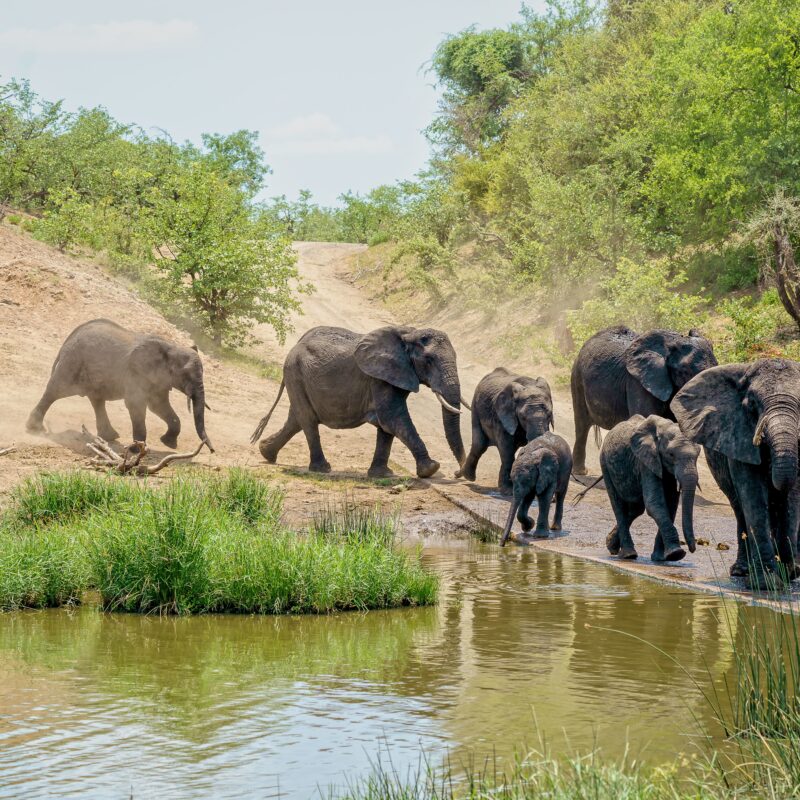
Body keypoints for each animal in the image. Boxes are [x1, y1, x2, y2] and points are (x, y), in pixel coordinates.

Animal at [27, 318, 214, 450]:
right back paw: (34, 429)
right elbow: (136, 404)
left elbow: (158, 406)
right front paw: (136, 450)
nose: (212, 450)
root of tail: (73, 333)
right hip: (72, 362)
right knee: (55, 391)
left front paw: (168, 444)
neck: (170, 347)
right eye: (186, 375)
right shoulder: (137, 373)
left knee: (97, 400)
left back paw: (110, 437)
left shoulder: (159, 380)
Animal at [247, 324, 466, 478]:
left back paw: (266, 453)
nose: (458, 473)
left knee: (296, 420)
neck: (408, 333)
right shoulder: (379, 379)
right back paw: (322, 469)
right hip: (295, 372)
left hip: (297, 377)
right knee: (307, 421)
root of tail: (295, 345)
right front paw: (431, 469)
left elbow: (387, 425)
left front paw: (382, 475)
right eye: (428, 361)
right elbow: (392, 418)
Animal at [572, 326, 716, 476]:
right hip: (577, 377)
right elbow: (647, 418)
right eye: (685, 371)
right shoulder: (638, 383)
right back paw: (580, 472)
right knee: (581, 425)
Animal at [596, 418, 696, 564]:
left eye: (698, 454)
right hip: (605, 463)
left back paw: (611, 546)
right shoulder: (645, 462)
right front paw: (676, 554)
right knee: (619, 506)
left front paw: (661, 558)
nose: (692, 549)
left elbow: (671, 506)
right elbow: (654, 504)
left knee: (635, 509)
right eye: (671, 455)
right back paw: (628, 555)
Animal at [672, 360, 800, 592]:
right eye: (752, 404)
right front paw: (766, 584)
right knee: (739, 508)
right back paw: (742, 571)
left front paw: (788, 572)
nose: (791, 570)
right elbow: (753, 496)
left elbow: (792, 496)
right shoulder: (737, 435)